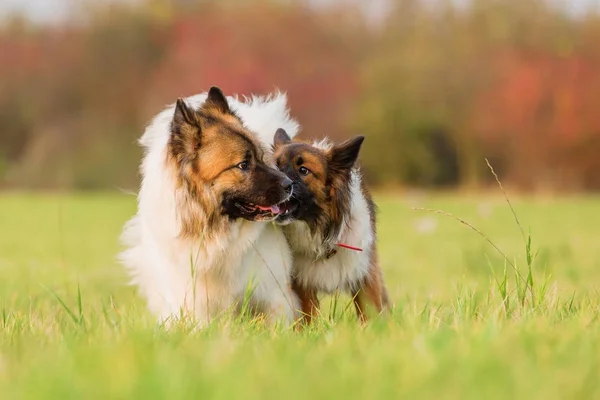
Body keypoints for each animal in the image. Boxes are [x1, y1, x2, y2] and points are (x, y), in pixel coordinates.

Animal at [118, 86, 300, 326]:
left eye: (262, 158)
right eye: (243, 164)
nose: (289, 184)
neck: (213, 230)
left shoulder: (274, 293)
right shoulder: (190, 298)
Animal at [274, 130, 394, 324]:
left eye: (303, 170)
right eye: (275, 165)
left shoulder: (365, 272)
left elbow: (371, 312)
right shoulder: (301, 282)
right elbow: (308, 315)